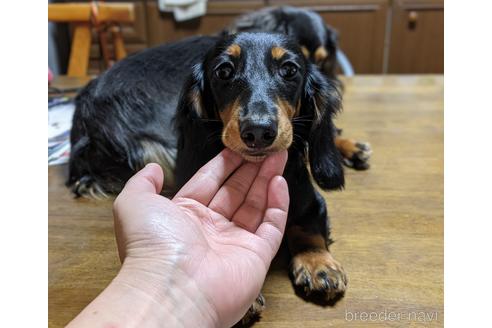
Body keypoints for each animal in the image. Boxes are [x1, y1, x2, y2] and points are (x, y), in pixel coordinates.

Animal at [67, 33, 348, 322]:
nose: (258, 132)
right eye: (223, 71)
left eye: (290, 70)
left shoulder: (310, 199)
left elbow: (308, 228)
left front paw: (319, 265)